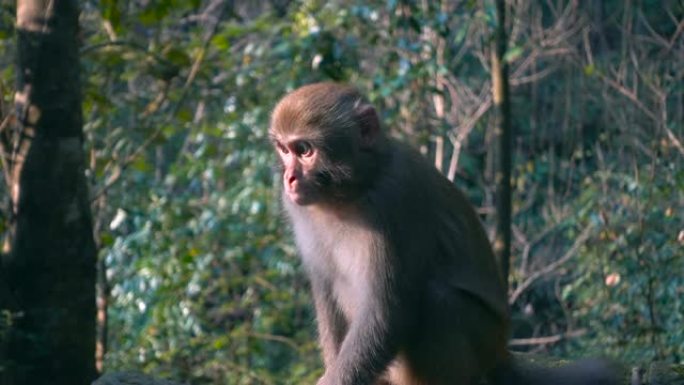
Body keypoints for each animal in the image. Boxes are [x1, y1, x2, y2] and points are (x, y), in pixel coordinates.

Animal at [268, 82, 620, 384]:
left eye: (305, 150)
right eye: (284, 149)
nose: (289, 178)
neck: (354, 189)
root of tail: (502, 354)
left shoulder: (397, 197)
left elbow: (387, 311)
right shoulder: (298, 208)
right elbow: (327, 289)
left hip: (483, 341)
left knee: (439, 300)